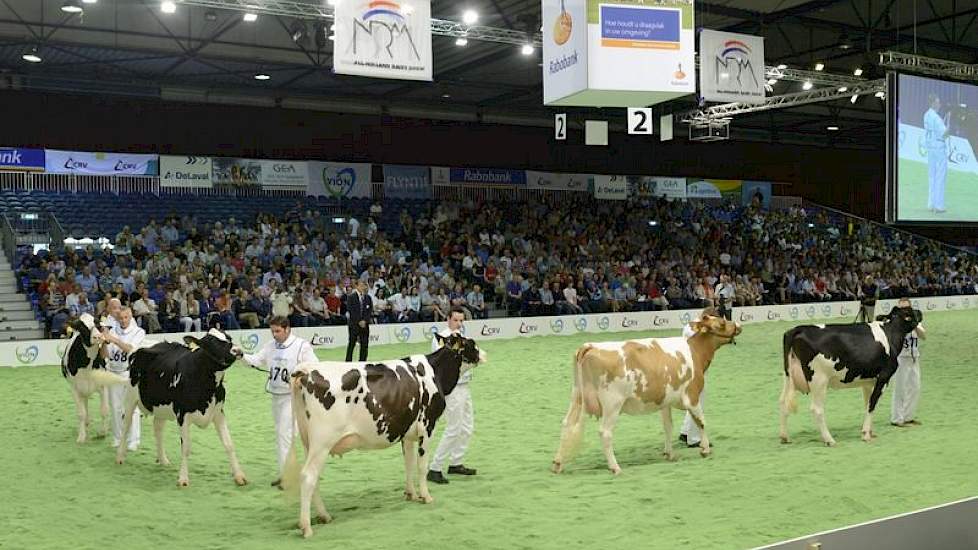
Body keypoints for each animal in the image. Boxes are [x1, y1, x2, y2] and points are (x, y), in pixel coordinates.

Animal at [114, 328, 246, 488]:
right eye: (211, 342)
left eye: (229, 338)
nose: (238, 350)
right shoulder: (182, 415)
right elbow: (186, 447)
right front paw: (183, 479)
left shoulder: (218, 412)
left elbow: (229, 444)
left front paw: (239, 476)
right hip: (130, 397)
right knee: (126, 424)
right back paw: (120, 457)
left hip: (161, 407)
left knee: (158, 429)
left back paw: (163, 460)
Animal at [284, 332, 486, 540]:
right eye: (472, 344)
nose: (484, 354)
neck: (434, 372)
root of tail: (305, 370)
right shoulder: (427, 426)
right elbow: (421, 466)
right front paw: (426, 496)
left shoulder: (407, 433)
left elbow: (408, 463)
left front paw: (411, 494)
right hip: (322, 442)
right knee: (308, 476)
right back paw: (307, 527)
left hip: (309, 442)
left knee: (313, 478)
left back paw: (324, 516)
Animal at [776, 306, 924, 448]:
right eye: (910, 312)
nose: (920, 312)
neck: (890, 333)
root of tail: (797, 329)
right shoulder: (883, 377)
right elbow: (872, 404)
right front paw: (866, 435)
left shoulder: (868, 381)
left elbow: (867, 404)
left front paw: (869, 432)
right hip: (819, 379)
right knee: (816, 409)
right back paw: (829, 440)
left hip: (788, 376)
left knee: (783, 402)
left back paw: (784, 437)